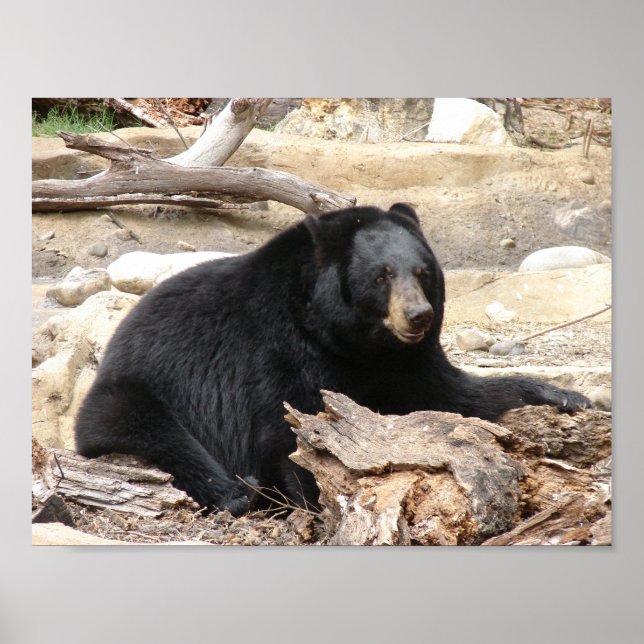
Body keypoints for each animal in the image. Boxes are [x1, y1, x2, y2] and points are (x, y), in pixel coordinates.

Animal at [74, 204, 591, 516]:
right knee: (152, 430)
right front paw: (323, 498)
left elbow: (458, 396)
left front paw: (567, 396)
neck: (358, 343)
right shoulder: (278, 354)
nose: (419, 316)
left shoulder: (407, 364)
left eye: (423, 272)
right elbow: (292, 429)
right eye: (383, 275)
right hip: (132, 393)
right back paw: (237, 491)